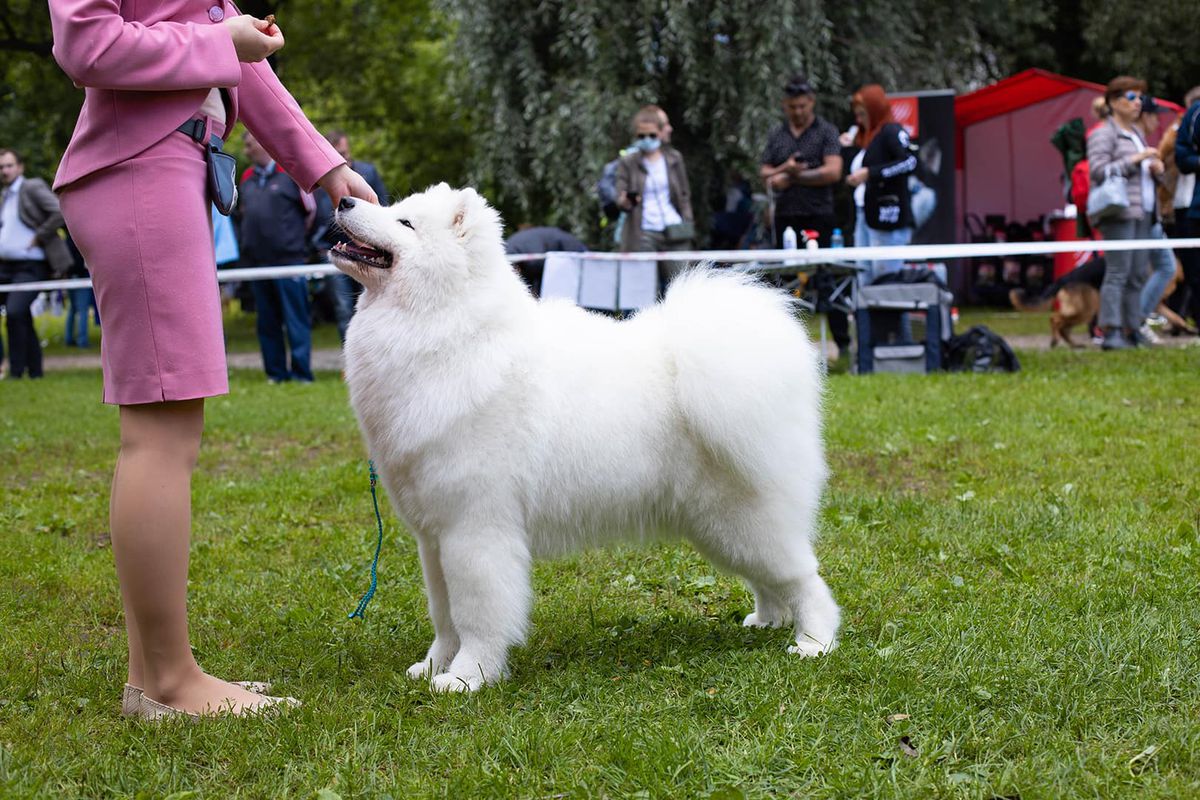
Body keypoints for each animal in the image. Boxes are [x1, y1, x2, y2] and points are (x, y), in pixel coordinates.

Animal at [326, 184, 835, 690]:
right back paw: (767, 619)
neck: (445, 329)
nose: (344, 201)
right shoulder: (434, 536)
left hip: (741, 518)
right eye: (391, 208)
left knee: (804, 579)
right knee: (770, 579)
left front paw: (468, 677)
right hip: (718, 527)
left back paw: (814, 642)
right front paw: (432, 666)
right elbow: (443, 615)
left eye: (405, 223)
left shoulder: (474, 530)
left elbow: (476, 615)